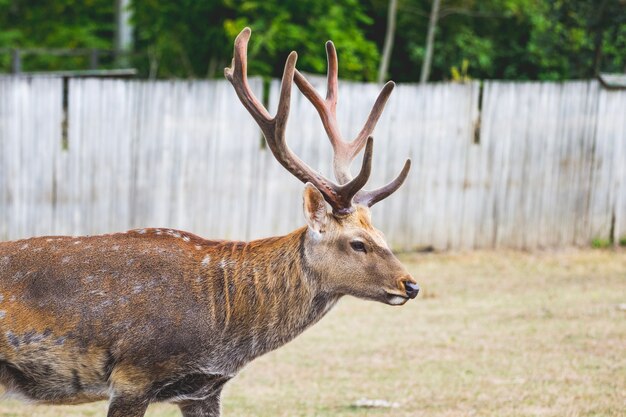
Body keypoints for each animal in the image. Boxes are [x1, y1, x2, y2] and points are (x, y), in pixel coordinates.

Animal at [1, 26, 420, 416]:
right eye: (357, 243)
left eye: (381, 234)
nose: (411, 284)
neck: (224, 328)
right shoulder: (133, 373)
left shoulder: (202, 387)